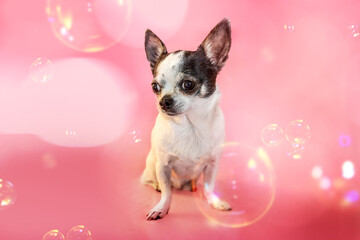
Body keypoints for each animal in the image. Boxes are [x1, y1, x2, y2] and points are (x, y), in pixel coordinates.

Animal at [141, 19, 231, 221]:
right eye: (155, 87)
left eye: (188, 85)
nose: (164, 101)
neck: (190, 126)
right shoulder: (163, 166)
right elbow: (167, 192)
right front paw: (161, 208)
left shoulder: (212, 165)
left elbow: (209, 187)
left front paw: (215, 202)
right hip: (151, 164)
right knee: (148, 180)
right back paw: (156, 185)